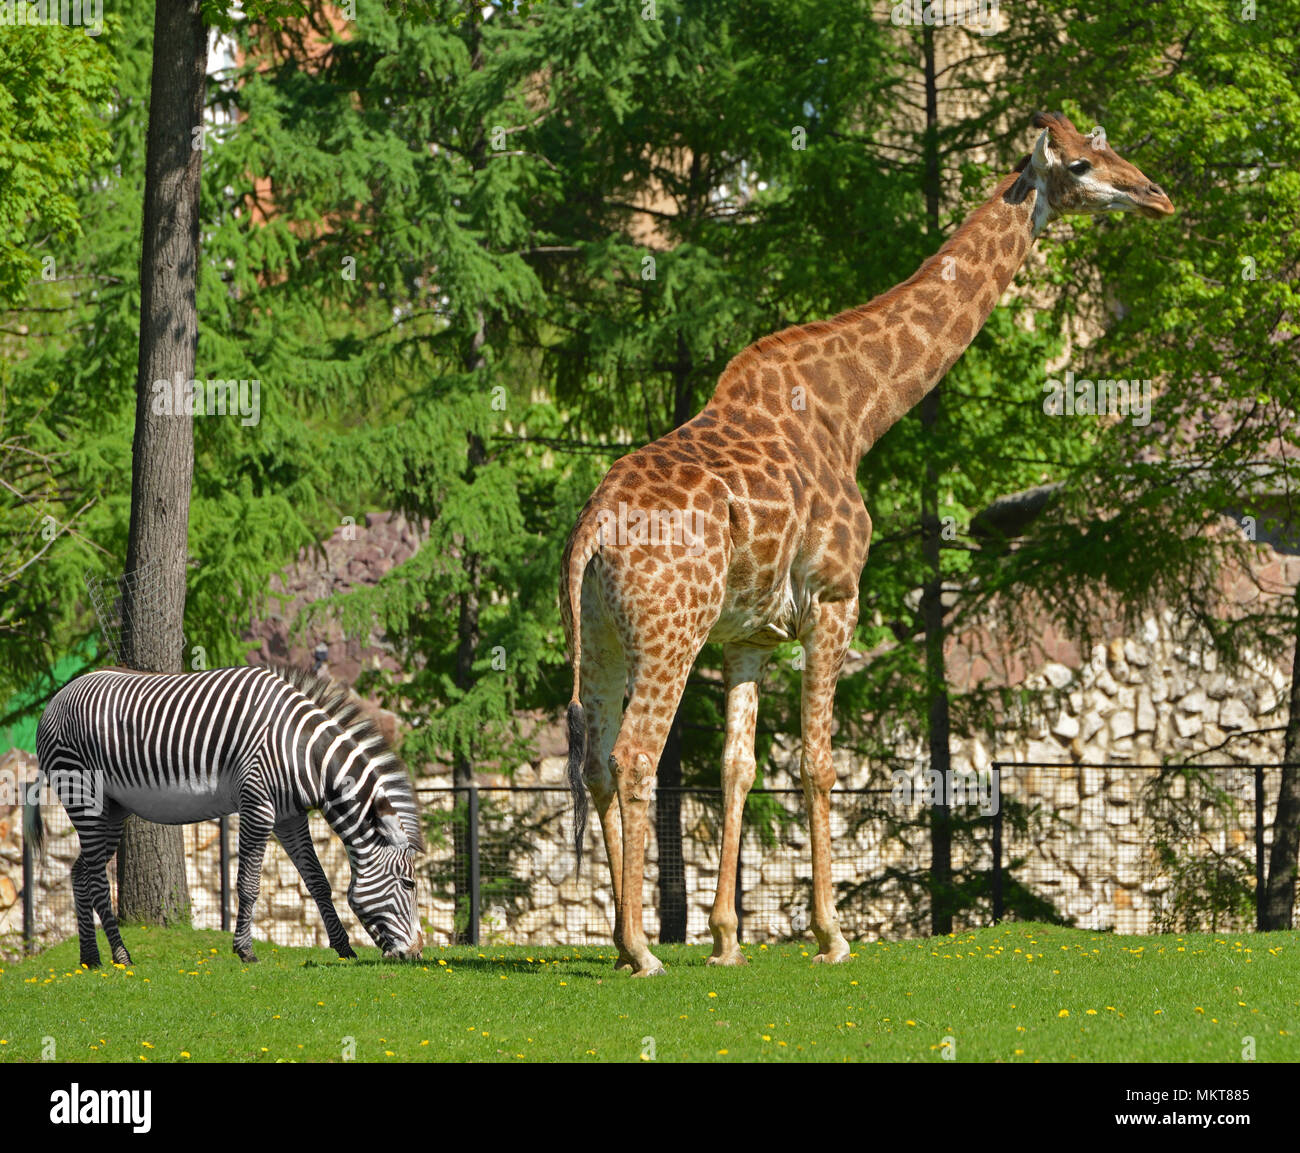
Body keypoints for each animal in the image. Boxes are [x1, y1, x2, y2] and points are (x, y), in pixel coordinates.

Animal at [26, 664, 425, 968]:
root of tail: (57, 697)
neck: (302, 752)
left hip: (111, 810)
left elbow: (318, 881)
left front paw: (343, 948)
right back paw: (122, 956)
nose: (417, 953)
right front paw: (245, 950)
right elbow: (247, 884)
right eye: (409, 884)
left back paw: (90, 959)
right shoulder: (257, 805)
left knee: (79, 873)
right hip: (83, 793)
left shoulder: (289, 817)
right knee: (95, 879)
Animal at [560, 111, 1174, 976]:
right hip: (670, 627)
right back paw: (641, 948)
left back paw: (622, 945)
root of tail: (592, 528)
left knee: (596, 755)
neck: (857, 413)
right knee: (637, 754)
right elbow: (817, 762)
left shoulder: (747, 634)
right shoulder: (834, 596)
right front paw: (830, 934)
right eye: (1082, 164)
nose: (1157, 196)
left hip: (606, 632)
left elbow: (739, 766)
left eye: (1109, 143)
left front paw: (727, 941)